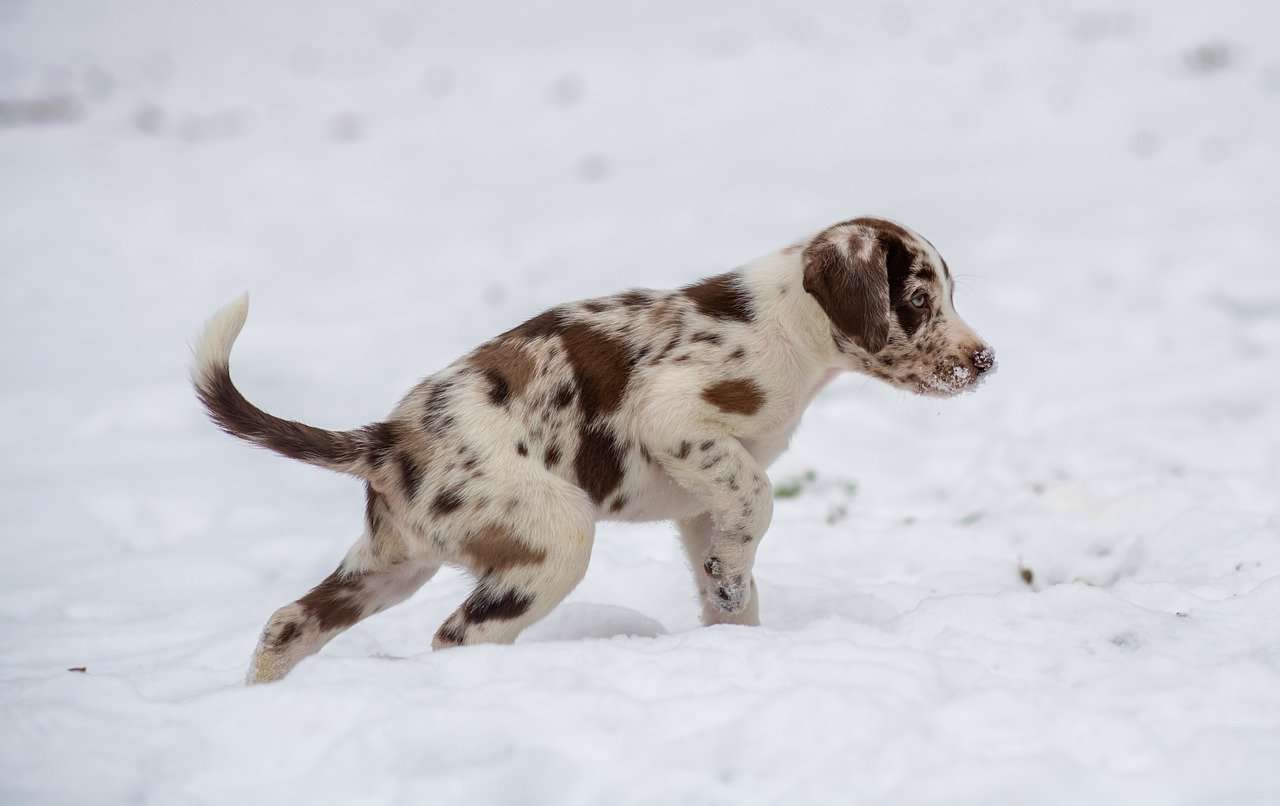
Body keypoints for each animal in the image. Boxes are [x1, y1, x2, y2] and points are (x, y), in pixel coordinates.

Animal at [189, 214, 993, 680]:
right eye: (918, 300)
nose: (985, 362)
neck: (788, 326)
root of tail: (386, 440)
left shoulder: (701, 503)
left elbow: (730, 568)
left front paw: (735, 622)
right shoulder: (678, 421)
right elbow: (760, 503)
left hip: (393, 563)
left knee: (289, 623)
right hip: (555, 539)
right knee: (456, 638)